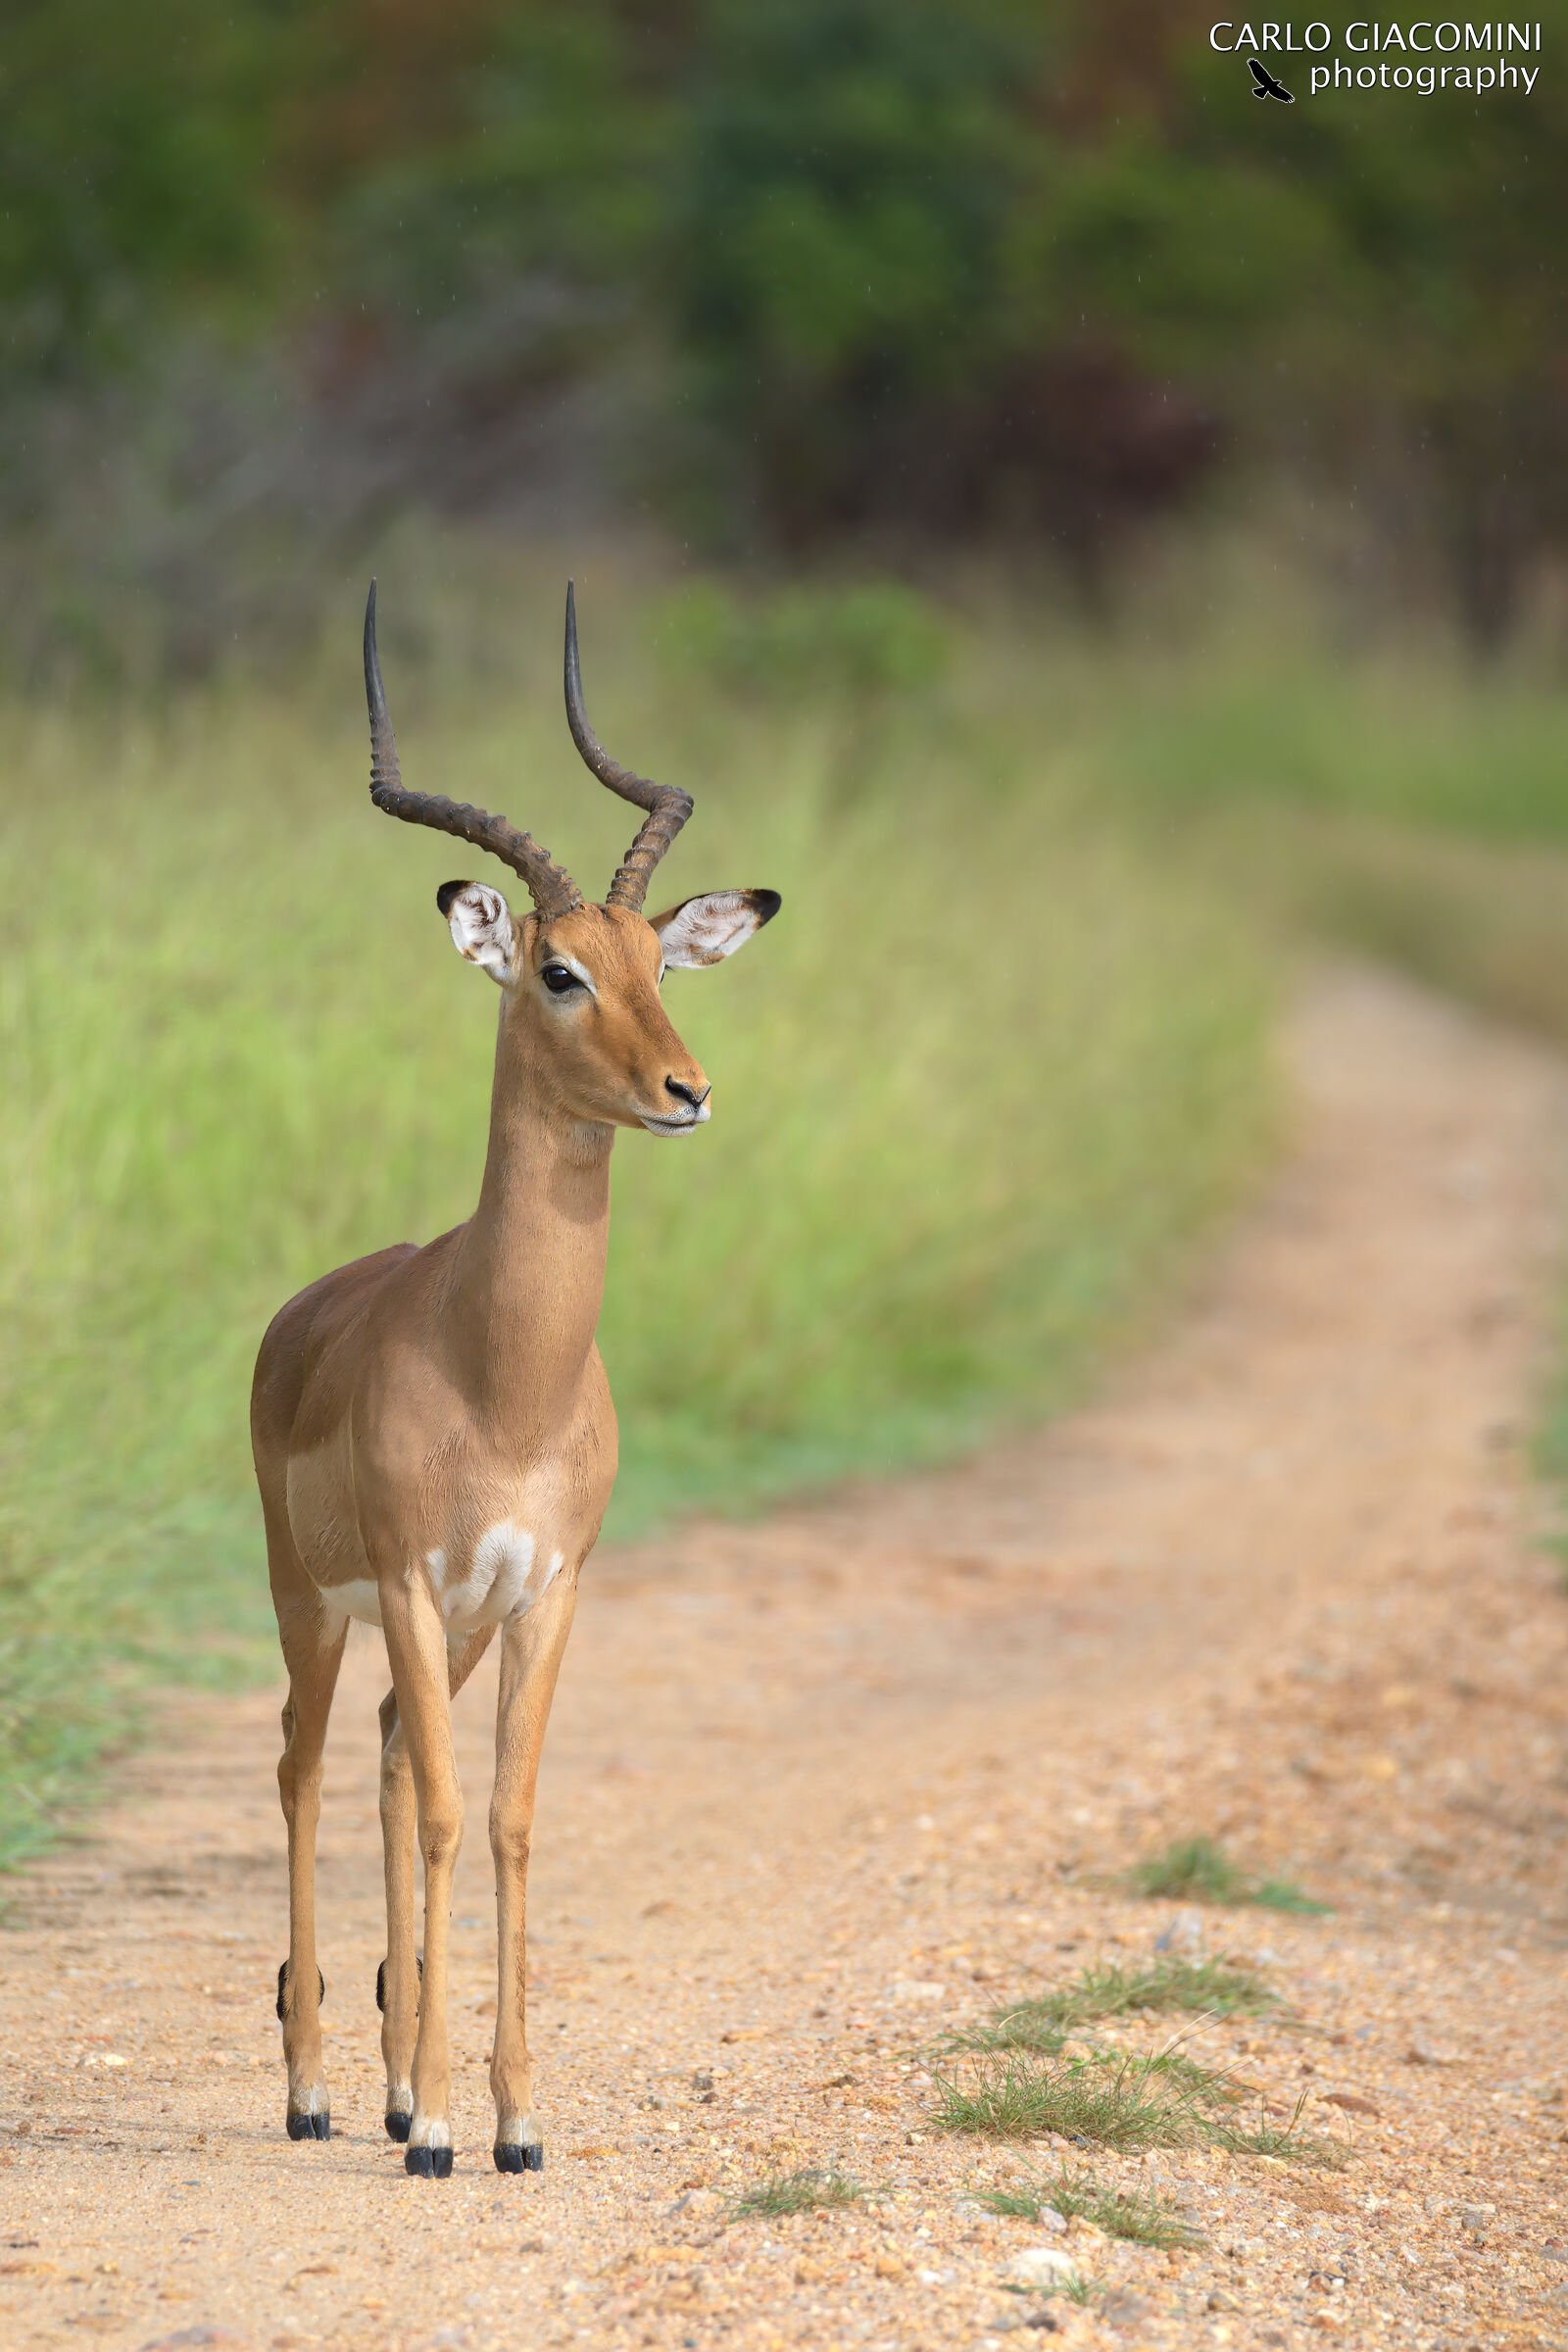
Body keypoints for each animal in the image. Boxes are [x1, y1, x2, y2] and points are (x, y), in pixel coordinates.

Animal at [250, 581, 779, 2177]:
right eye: (559, 970)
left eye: (660, 964)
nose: (687, 1092)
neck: (505, 1376)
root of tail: (294, 1316)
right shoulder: (415, 1583)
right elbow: (439, 1815)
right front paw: (433, 2128)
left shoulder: (543, 1593)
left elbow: (504, 1818)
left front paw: (510, 2118)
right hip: (313, 1603)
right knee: (305, 1768)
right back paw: (316, 2092)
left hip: (447, 1629)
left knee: (375, 1761)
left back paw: (388, 2084)